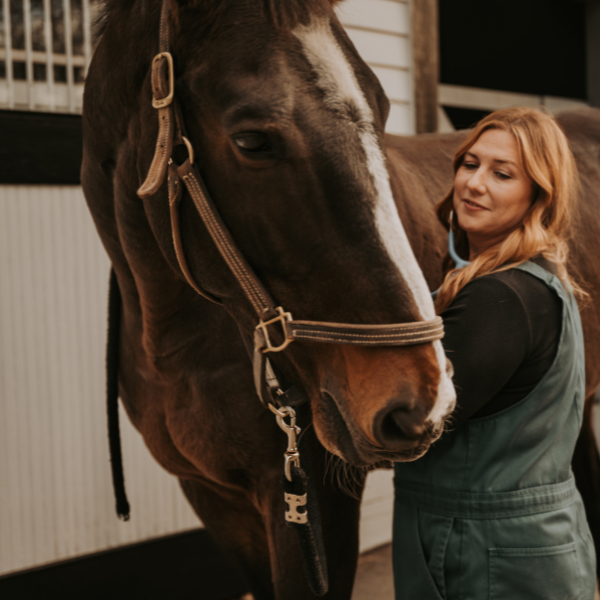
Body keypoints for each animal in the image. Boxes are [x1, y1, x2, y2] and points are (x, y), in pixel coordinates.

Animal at [81, 1, 600, 600]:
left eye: (382, 110)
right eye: (251, 141)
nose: (425, 401)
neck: (182, 345)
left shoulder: (313, 505)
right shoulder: (215, 499)